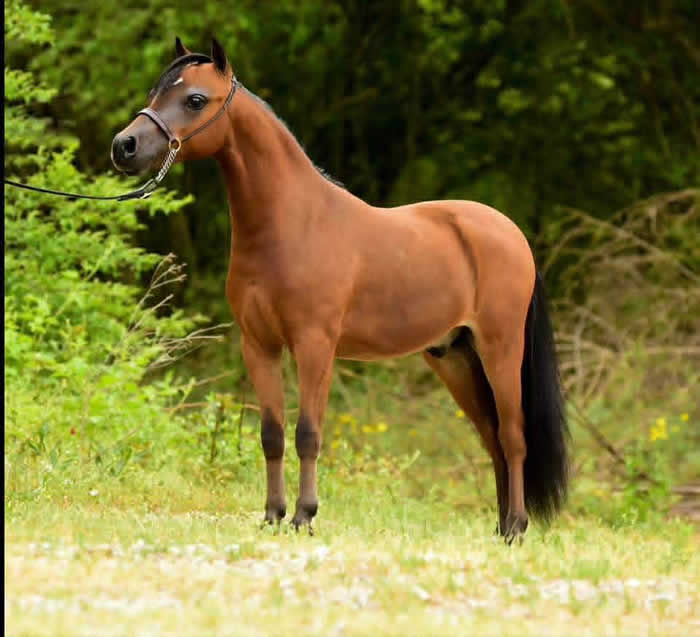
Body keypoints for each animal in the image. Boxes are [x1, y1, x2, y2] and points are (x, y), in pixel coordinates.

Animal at [111, 37, 569, 542]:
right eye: (155, 92)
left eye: (194, 99)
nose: (124, 146)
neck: (292, 223)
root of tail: (511, 232)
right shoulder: (259, 346)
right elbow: (271, 435)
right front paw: (272, 515)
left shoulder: (314, 345)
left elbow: (307, 433)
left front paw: (304, 515)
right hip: (456, 358)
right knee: (492, 438)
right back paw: (501, 527)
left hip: (499, 348)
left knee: (512, 435)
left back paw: (517, 528)